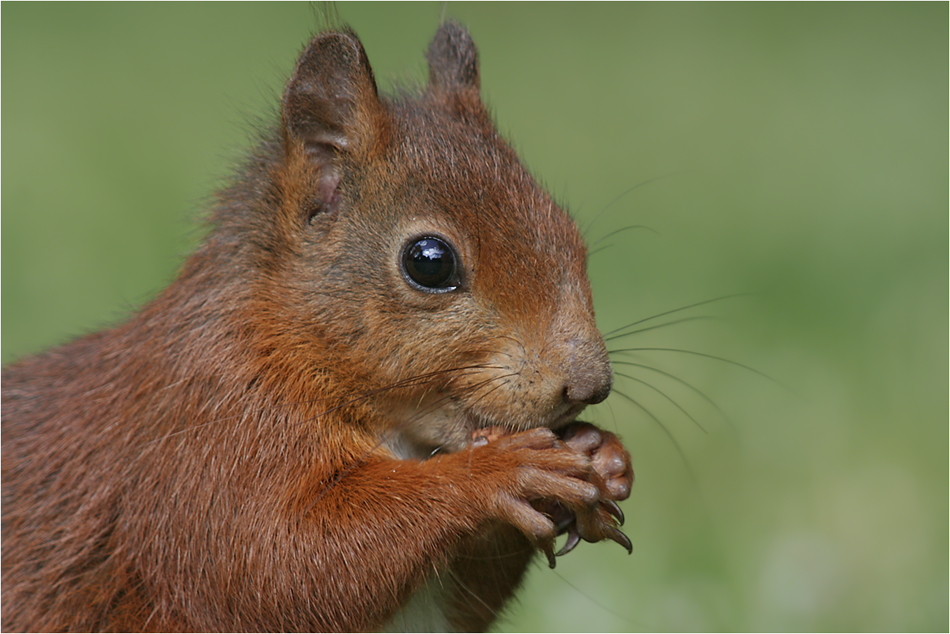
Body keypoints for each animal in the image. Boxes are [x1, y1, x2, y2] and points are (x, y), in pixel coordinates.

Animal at [5, 22, 640, 628]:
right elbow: (281, 560)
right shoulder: (205, 439)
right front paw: (500, 472)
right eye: (429, 262)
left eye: (570, 234)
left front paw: (604, 455)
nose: (589, 384)